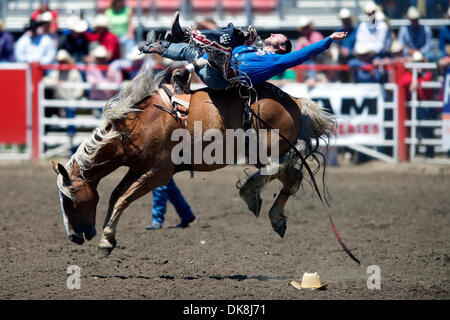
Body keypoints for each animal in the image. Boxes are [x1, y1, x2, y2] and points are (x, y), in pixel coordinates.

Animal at [52, 69, 334, 258]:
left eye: (69, 199)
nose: (74, 237)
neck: (135, 127)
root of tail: (296, 101)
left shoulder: (159, 173)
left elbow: (123, 198)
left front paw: (105, 241)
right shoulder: (137, 169)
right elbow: (115, 196)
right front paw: (108, 238)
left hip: (266, 151)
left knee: (282, 172)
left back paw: (252, 195)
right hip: (261, 154)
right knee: (291, 176)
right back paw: (270, 213)